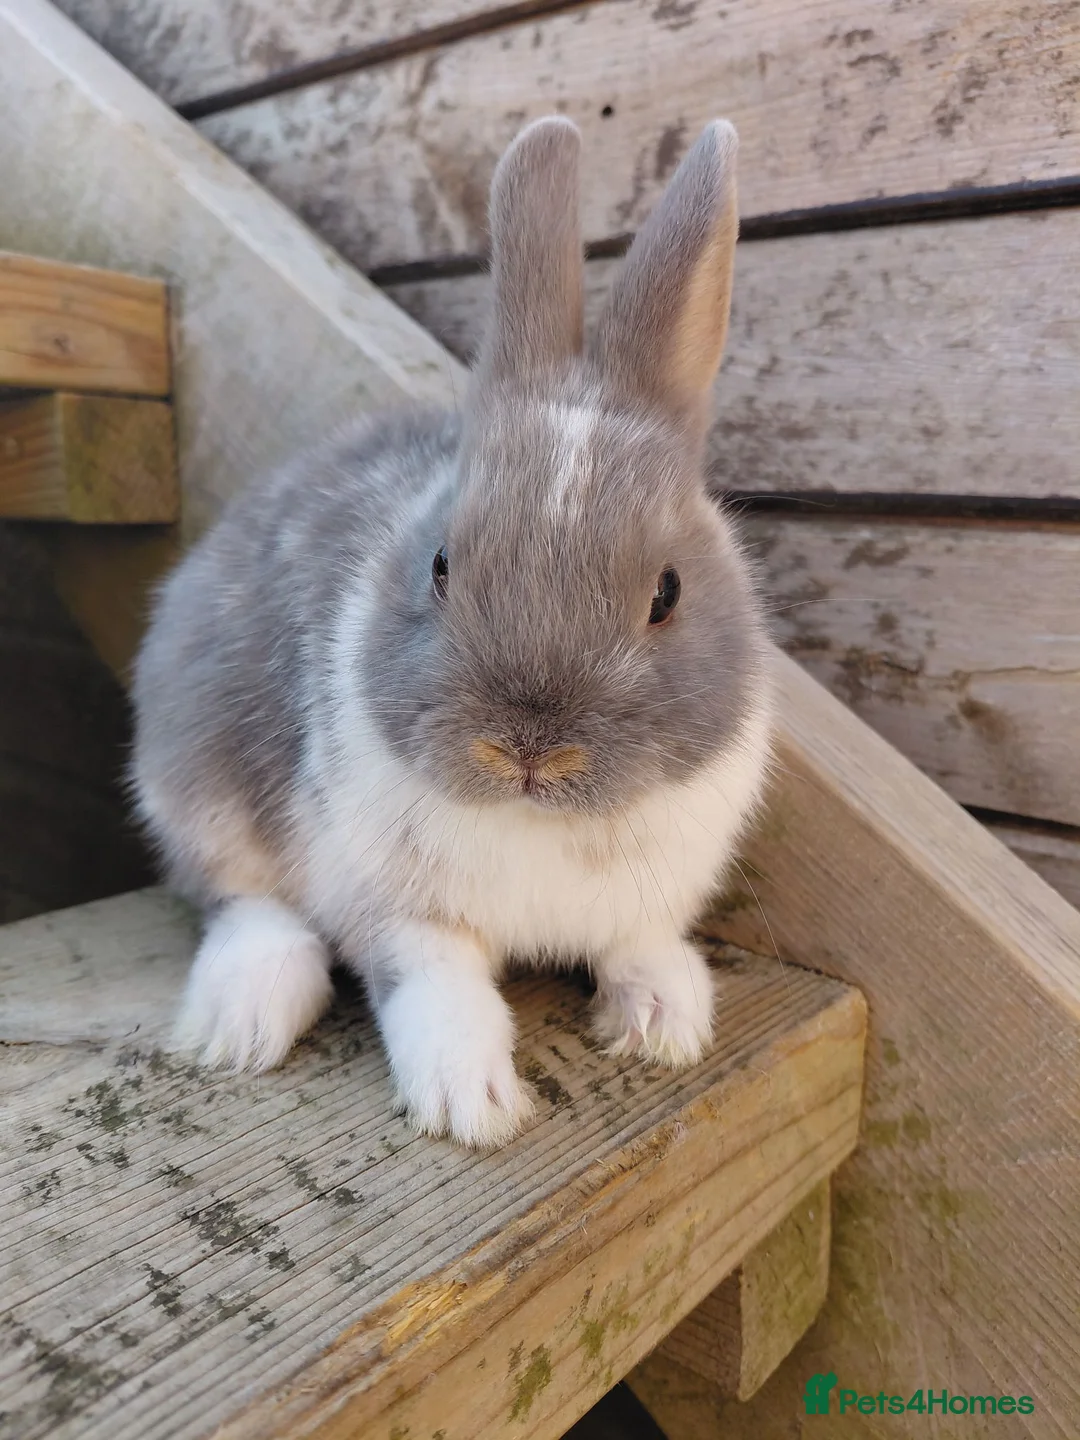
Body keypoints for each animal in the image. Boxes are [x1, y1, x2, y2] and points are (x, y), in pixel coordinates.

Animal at [130, 115, 773, 1149]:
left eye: (668, 593)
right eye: (439, 565)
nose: (527, 750)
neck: (542, 824)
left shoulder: (649, 899)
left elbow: (640, 947)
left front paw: (665, 1027)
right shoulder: (399, 909)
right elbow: (438, 993)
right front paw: (473, 1106)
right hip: (192, 774)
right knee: (239, 897)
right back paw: (243, 1022)